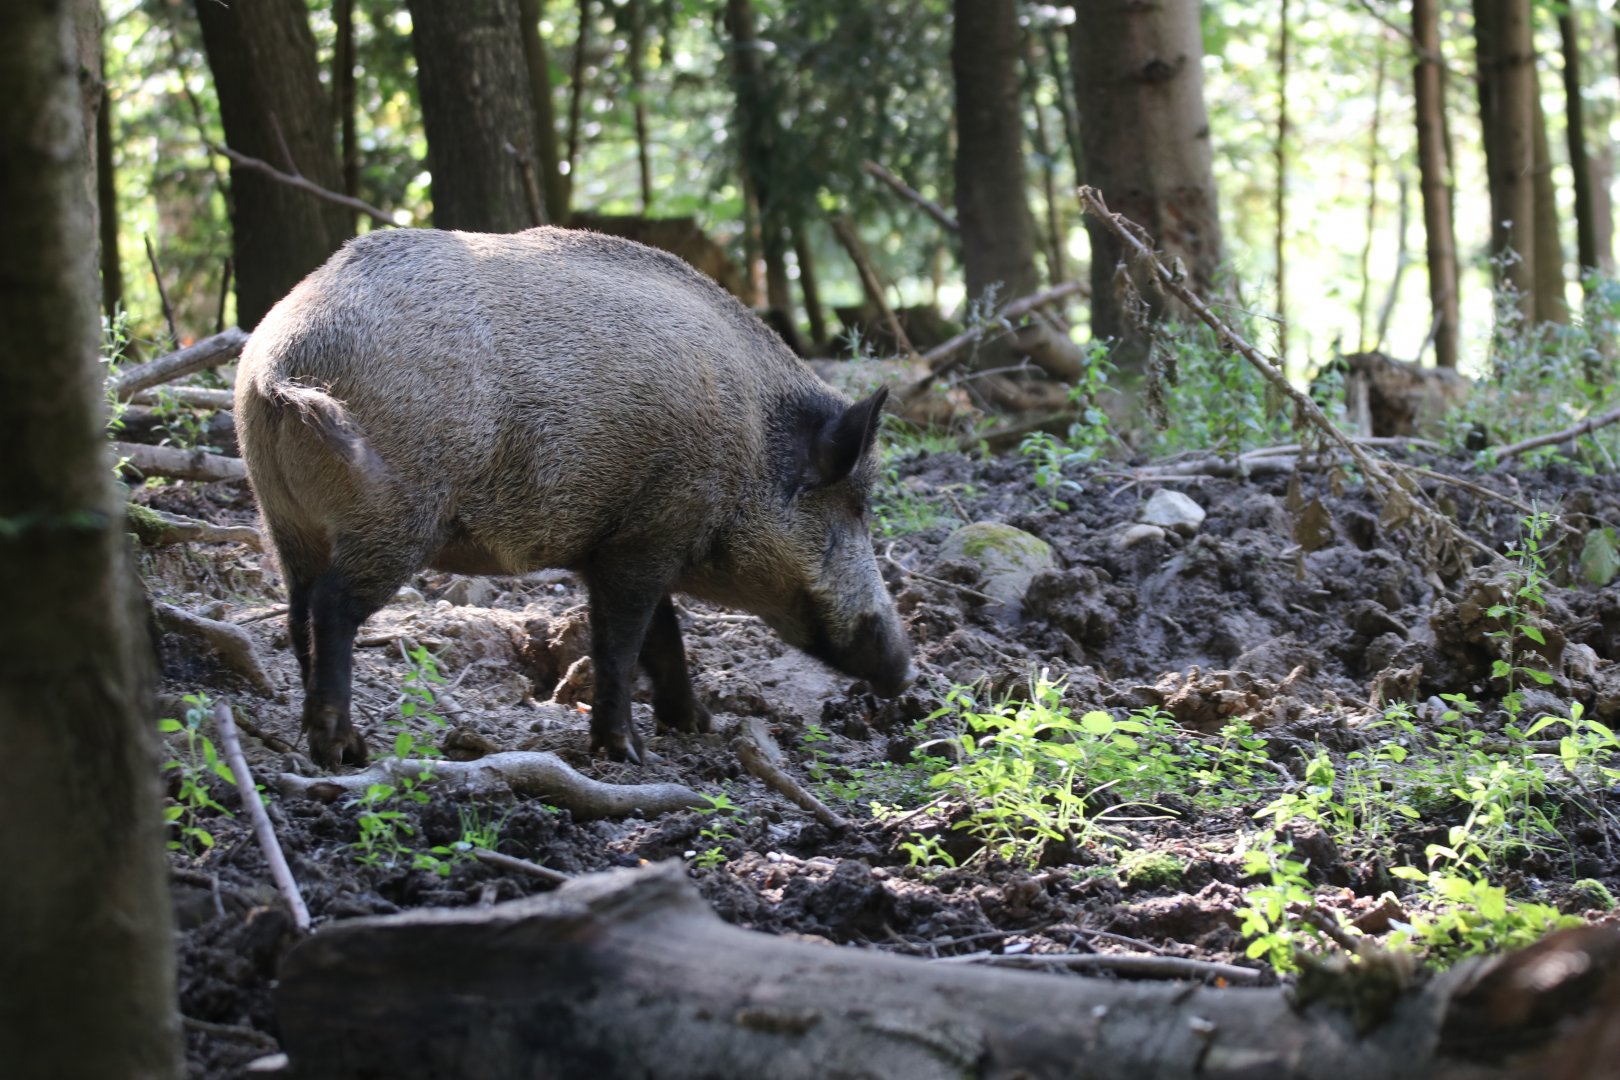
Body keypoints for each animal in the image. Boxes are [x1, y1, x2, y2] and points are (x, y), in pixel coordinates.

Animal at [235, 226, 914, 769]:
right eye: (857, 507)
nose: (905, 670)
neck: (749, 451)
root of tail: (279, 361)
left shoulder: (628, 540)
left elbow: (663, 635)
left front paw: (695, 724)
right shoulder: (651, 533)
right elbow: (621, 644)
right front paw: (627, 753)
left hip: (284, 517)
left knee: (297, 614)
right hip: (393, 513)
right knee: (333, 609)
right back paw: (345, 751)